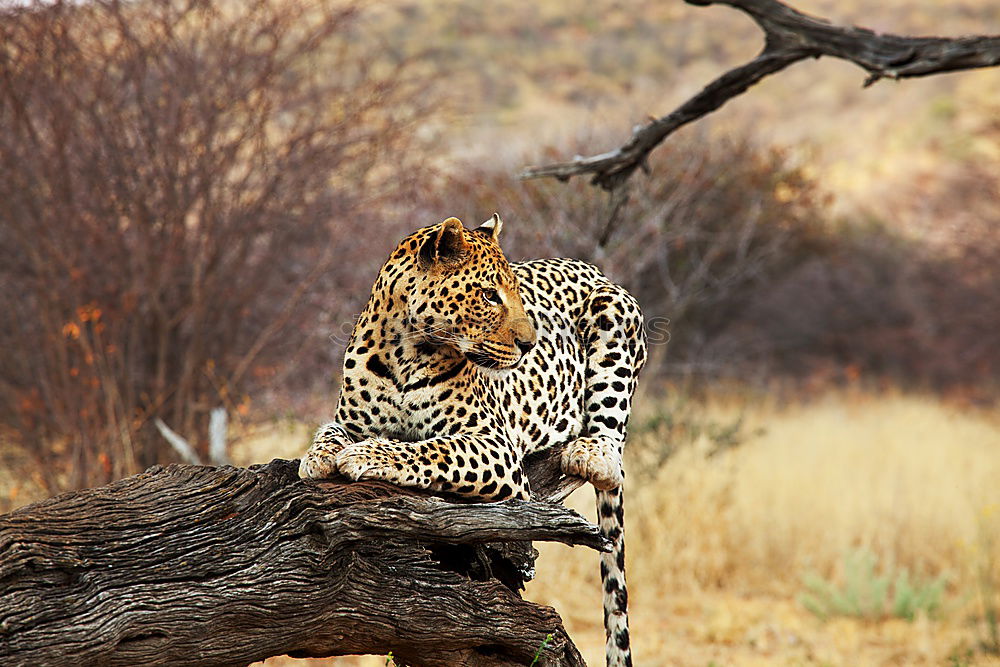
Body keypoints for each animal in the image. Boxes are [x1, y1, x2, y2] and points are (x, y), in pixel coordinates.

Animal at [300, 215, 644, 667]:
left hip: (615, 310)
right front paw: (318, 456)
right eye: (488, 295)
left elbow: (432, 448)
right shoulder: (349, 420)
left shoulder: (493, 444)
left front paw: (368, 455)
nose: (530, 344)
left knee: (611, 447)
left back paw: (590, 452)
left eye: (514, 295)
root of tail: (592, 267)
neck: (403, 352)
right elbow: (330, 431)